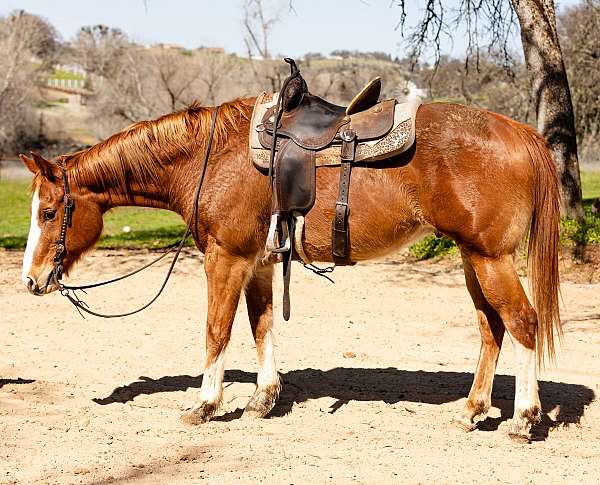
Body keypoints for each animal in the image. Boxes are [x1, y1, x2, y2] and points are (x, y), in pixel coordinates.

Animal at [19, 96, 564, 440]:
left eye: (47, 213)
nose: (31, 280)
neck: (210, 159)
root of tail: (521, 133)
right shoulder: (258, 263)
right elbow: (260, 327)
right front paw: (263, 399)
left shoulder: (225, 257)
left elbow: (216, 330)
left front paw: (204, 404)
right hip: (474, 260)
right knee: (492, 328)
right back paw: (473, 410)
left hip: (490, 259)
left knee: (524, 323)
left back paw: (523, 419)